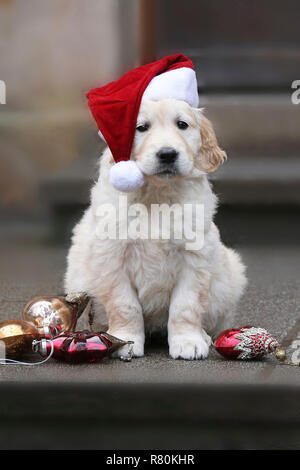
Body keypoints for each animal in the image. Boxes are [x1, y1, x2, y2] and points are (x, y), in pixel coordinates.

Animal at [65, 99, 246, 360]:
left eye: (182, 124)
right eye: (141, 127)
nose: (167, 154)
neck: (157, 193)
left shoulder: (194, 259)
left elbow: (186, 305)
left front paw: (188, 342)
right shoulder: (113, 258)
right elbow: (125, 305)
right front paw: (125, 341)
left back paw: (202, 335)